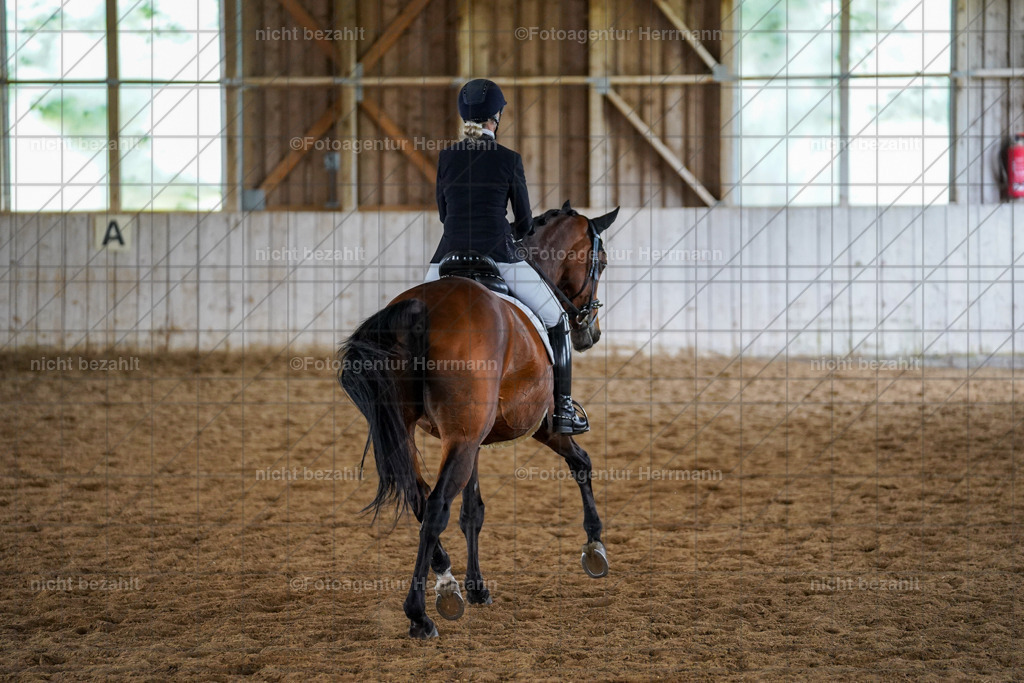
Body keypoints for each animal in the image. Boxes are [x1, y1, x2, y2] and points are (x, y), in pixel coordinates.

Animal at [339, 201, 619, 639]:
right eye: (601, 262)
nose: (591, 333)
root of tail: (420, 307)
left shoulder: (472, 440)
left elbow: (473, 512)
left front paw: (476, 587)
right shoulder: (541, 426)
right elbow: (582, 463)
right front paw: (594, 546)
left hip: (426, 433)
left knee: (421, 500)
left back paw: (447, 583)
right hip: (471, 437)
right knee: (435, 507)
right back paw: (420, 614)